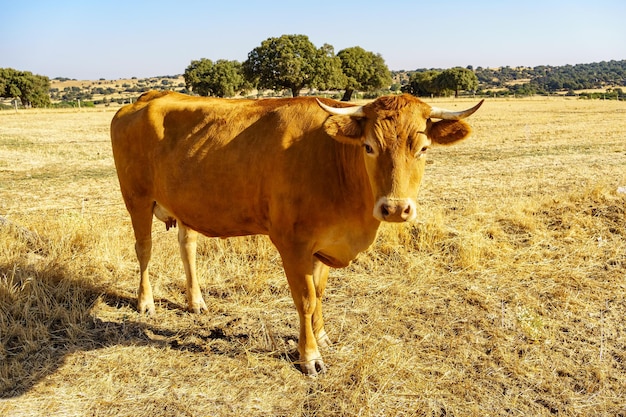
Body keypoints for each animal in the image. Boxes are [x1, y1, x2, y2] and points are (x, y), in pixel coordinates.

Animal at [109, 91, 480, 374]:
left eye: (423, 149)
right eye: (369, 146)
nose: (395, 208)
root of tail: (147, 97)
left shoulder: (323, 245)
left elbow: (319, 293)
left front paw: (323, 335)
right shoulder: (292, 244)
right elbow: (305, 299)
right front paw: (310, 356)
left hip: (186, 207)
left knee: (187, 245)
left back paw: (196, 301)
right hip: (136, 199)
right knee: (144, 249)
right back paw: (145, 302)